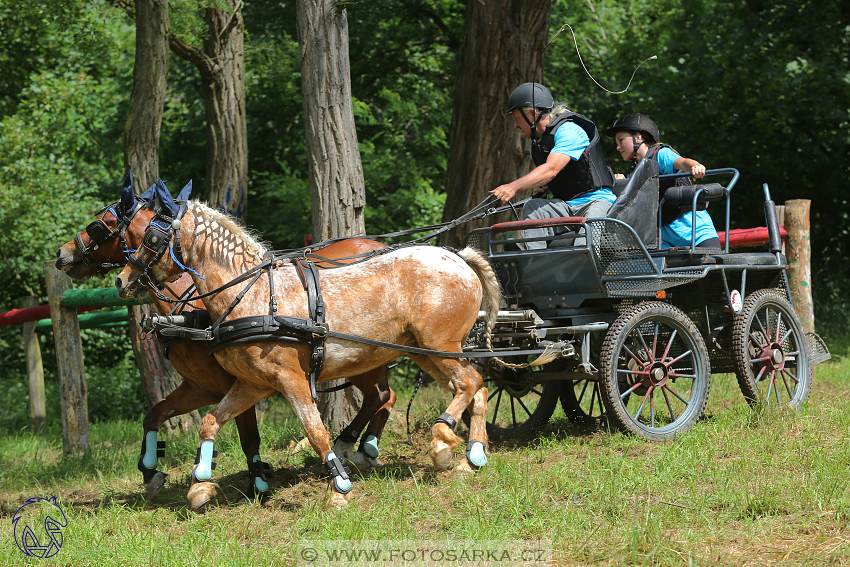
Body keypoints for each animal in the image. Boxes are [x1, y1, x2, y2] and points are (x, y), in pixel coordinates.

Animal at [53, 175, 398, 504]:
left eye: (100, 225)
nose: (61, 253)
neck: (192, 307)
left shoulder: (239, 380)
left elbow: (248, 436)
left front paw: (253, 482)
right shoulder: (201, 387)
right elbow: (155, 414)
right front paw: (152, 473)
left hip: (361, 358)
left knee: (380, 394)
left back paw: (350, 445)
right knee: (385, 395)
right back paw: (363, 447)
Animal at [112, 187, 496, 510]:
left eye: (151, 236)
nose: (121, 279)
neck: (254, 296)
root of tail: (460, 258)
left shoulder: (291, 379)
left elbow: (315, 431)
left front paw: (340, 488)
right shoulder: (252, 384)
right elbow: (210, 422)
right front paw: (200, 485)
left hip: (438, 345)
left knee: (467, 383)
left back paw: (443, 441)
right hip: (424, 352)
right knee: (475, 387)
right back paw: (472, 455)